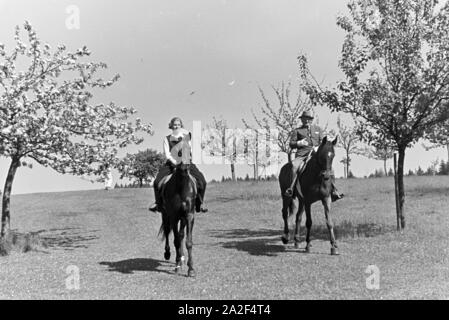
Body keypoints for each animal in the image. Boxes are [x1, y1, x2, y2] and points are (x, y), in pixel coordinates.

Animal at [159, 139, 198, 276]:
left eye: (189, 149)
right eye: (178, 151)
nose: (185, 167)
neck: (181, 187)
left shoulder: (189, 216)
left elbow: (188, 242)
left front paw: (191, 269)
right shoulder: (174, 216)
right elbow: (175, 240)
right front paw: (177, 265)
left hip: (183, 219)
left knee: (181, 235)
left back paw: (182, 258)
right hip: (165, 216)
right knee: (167, 232)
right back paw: (168, 254)